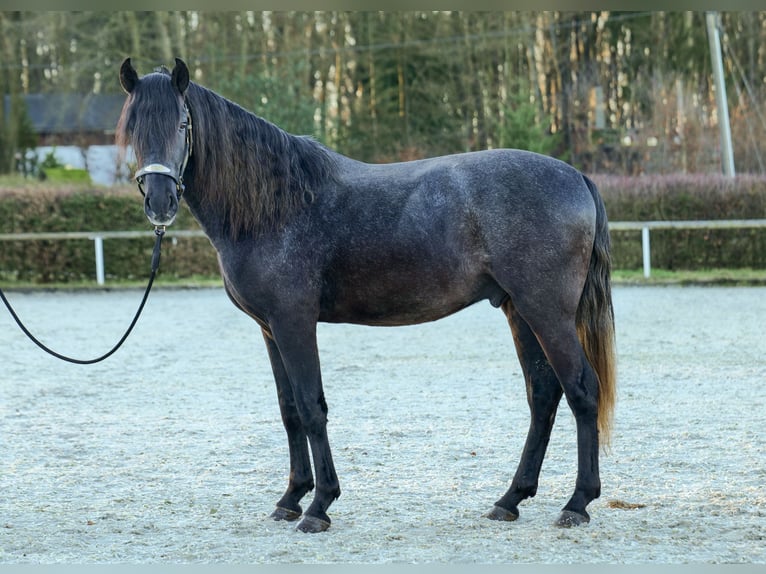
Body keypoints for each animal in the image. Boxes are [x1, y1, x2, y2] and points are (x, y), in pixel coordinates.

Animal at [118, 58, 616, 536]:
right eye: (134, 126)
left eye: (183, 123)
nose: (160, 202)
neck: (276, 204)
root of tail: (576, 177)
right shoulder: (269, 328)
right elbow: (288, 409)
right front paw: (290, 498)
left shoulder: (293, 321)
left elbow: (311, 406)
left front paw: (319, 506)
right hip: (518, 311)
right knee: (544, 395)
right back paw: (509, 500)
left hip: (546, 312)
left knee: (581, 389)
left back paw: (577, 504)